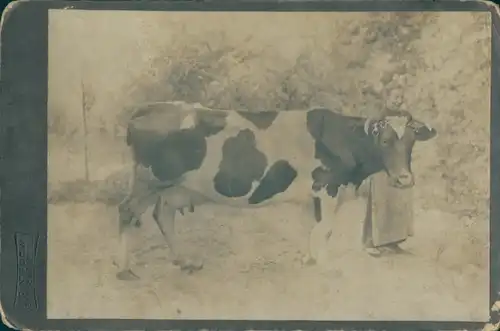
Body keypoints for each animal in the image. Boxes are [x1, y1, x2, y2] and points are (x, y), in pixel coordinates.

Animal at [115, 101, 436, 280]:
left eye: (411, 142)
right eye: (384, 140)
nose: (404, 179)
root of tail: (150, 107)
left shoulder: (310, 195)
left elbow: (311, 227)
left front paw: (309, 258)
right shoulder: (328, 187)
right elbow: (326, 230)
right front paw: (327, 266)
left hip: (172, 188)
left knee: (163, 216)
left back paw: (185, 261)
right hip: (148, 181)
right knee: (127, 212)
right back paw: (124, 269)